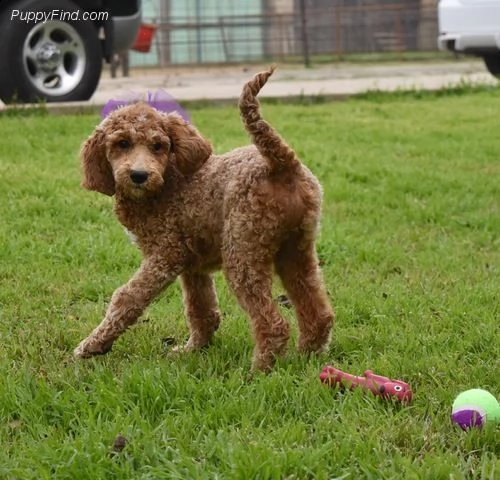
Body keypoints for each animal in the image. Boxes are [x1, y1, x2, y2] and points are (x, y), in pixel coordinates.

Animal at [75, 66, 332, 372]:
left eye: (158, 146)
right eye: (121, 144)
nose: (139, 175)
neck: (166, 183)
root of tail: (280, 162)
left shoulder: (165, 255)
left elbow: (126, 298)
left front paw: (93, 345)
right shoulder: (192, 264)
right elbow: (201, 309)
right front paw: (194, 349)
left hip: (243, 251)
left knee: (274, 323)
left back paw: (258, 370)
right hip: (296, 249)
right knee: (317, 309)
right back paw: (308, 354)